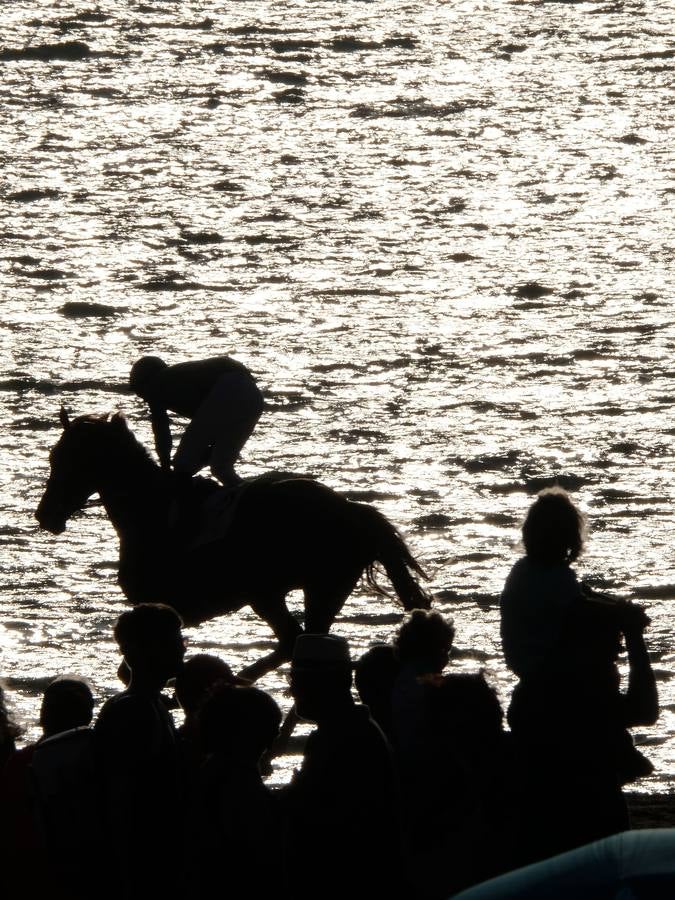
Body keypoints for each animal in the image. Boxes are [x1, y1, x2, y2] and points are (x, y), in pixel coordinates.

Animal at [35, 412, 428, 680]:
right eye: (54, 457)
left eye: (68, 460)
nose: (45, 515)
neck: (150, 513)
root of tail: (352, 508)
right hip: (316, 589)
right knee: (301, 642)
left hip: (289, 590)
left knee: (294, 641)